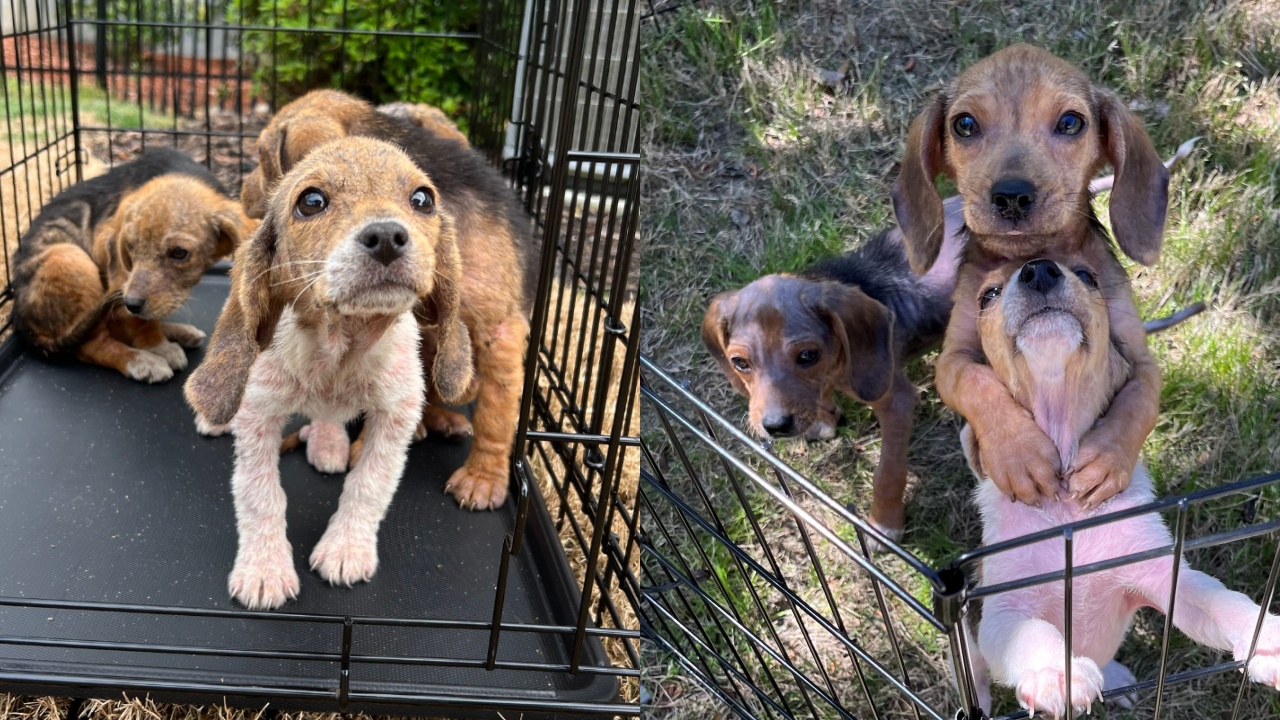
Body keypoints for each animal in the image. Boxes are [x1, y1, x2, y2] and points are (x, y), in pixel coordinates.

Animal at [11, 146, 252, 381]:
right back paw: (140, 360)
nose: (132, 303)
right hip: (71, 258)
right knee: (91, 343)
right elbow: (139, 321)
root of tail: (21, 322)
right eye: (130, 247)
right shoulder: (119, 276)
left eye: (179, 253)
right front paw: (158, 347)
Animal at [185, 137, 471, 607]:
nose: (388, 237)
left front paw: (346, 548)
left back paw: (328, 441)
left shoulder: (396, 416)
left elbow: (369, 485)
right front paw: (264, 569)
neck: (342, 344)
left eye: (422, 200)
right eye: (312, 201)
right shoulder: (259, 414)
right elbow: (260, 496)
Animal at [217, 87, 527, 507]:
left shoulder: (501, 330)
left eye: (263, 155)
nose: (241, 192)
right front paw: (366, 448)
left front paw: (484, 477)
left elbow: (496, 411)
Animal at [890, 44, 1172, 507]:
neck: (1034, 253)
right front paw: (1018, 453)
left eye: (1071, 122)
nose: (1011, 196)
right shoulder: (952, 360)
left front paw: (1107, 458)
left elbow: (1139, 402)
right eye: (964, 124)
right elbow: (977, 381)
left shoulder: (1143, 361)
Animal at [962, 252, 1280, 712]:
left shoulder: (1163, 574)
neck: (1067, 506)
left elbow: (1221, 601)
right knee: (976, 676)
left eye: (1087, 275)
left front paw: (1266, 636)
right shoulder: (1004, 609)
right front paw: (1056, 672)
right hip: (971, 646)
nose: (1038, 270)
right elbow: (1032, 634)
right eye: (987, 295)